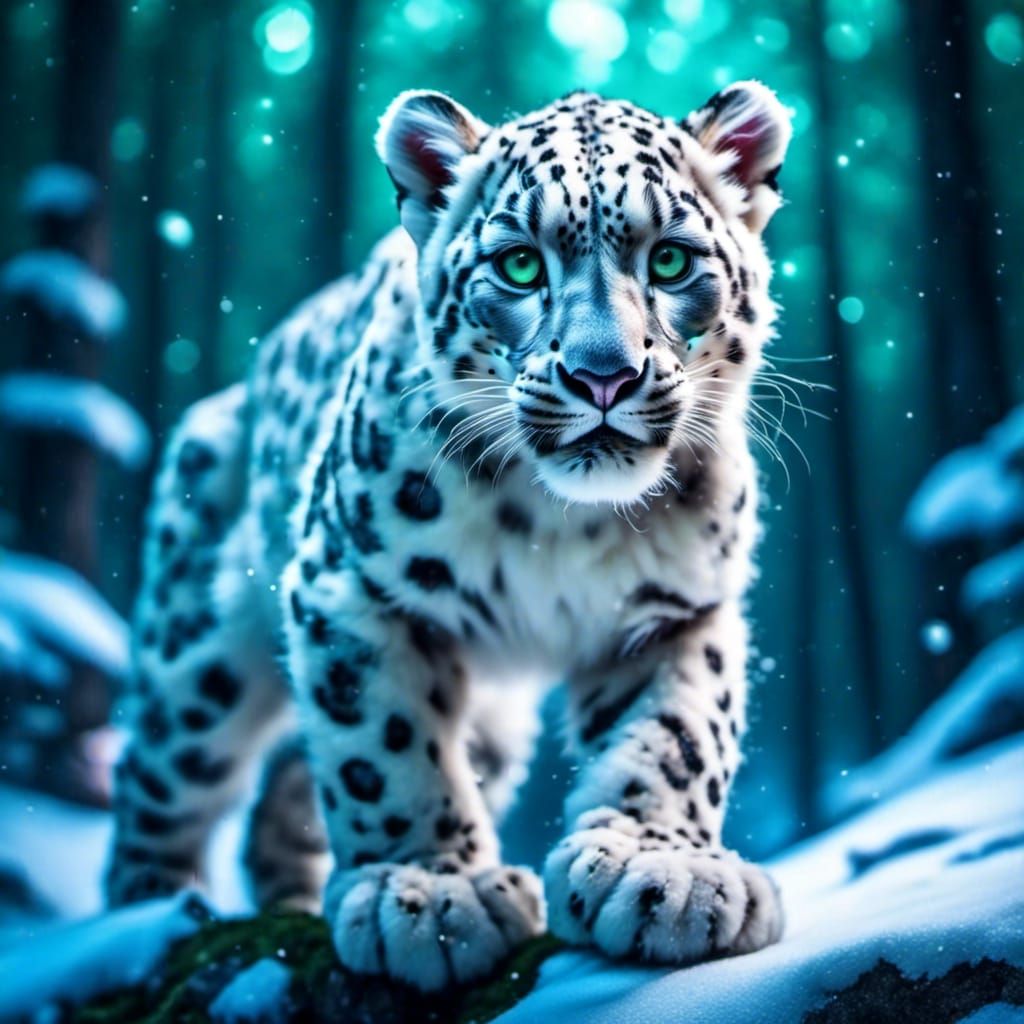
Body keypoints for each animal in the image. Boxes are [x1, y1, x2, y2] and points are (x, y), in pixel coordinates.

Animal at [105, 81, 792, 992]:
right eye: (520, 265)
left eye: (672, 261)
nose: (603, 375)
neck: (564, 524)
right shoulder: (351, 588)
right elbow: (385, 743)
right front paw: (428, 894)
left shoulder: (678, 608)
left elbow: (677, 732)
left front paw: (664, 871)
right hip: (195, 656)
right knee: (161, 780)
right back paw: (143, 925)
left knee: (282, 793)